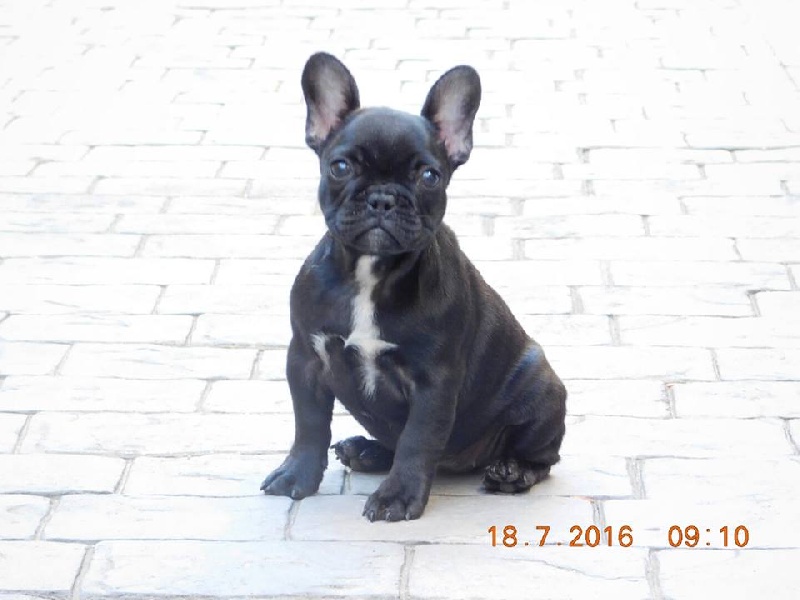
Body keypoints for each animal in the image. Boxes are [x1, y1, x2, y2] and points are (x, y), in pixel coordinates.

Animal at [261, 52, 567, 521]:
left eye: (428, 176)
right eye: (340, 166)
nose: (383, 198)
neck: (370, 273)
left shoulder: (433, 382)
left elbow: (417, 440)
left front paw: (397, 497)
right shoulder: (306, 357)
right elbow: (309, 425)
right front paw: (296, 476)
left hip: (540, 388)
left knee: (543, 458)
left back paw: (511, 472)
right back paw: (365, 451)